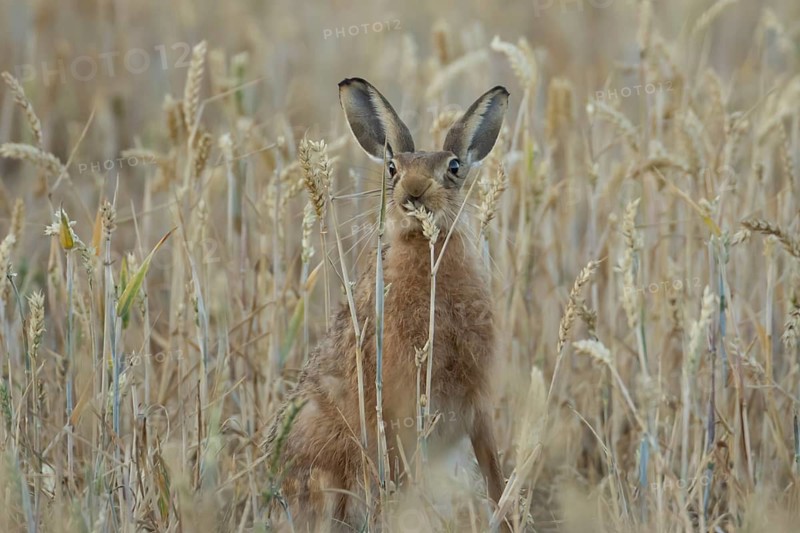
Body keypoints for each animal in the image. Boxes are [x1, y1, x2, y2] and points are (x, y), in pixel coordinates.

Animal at [265, 77, 510, 532]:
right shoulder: (397, 407)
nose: (413, 192)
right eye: (393, 168)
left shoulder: (477, 403)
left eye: (454, 167)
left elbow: (494, 473)